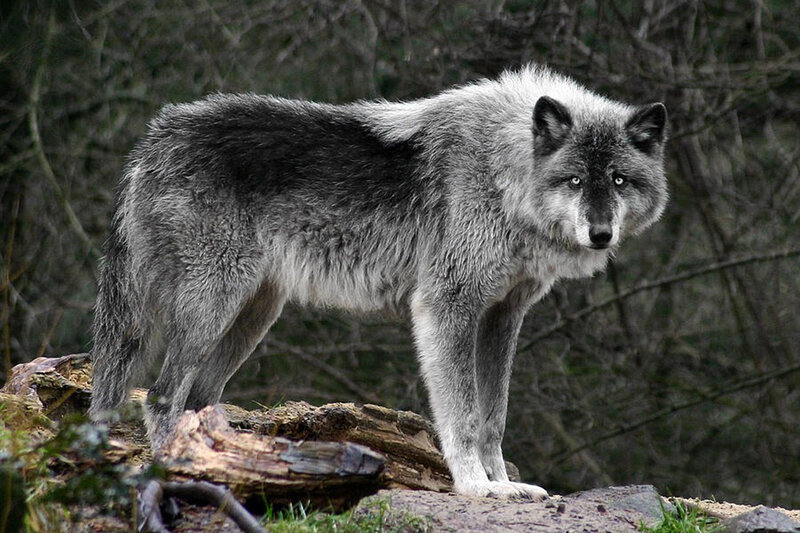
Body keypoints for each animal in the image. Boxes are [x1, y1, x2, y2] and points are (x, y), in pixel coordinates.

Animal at [89, 65, 667, 499]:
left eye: (619, 180)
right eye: (575, 180)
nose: (600, 233)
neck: (503, 173)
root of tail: (153, 139)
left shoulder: (503, 317)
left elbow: (493, 418)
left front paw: (503, 485)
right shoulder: (446, 308)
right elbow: (462, 415)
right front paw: (476, 487)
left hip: (253, 315)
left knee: (197, 398)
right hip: (213, 306)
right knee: (161, 396)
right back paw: (176, 472)